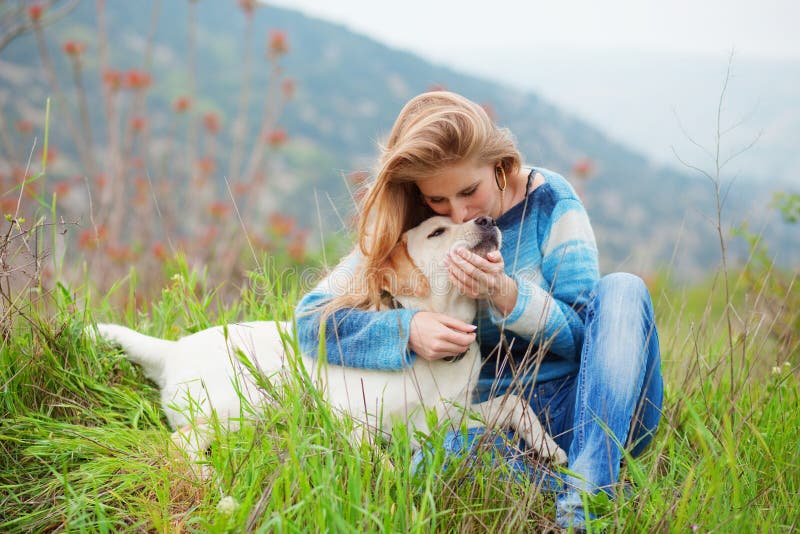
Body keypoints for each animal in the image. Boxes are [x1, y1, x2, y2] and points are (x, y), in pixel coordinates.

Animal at [92, 218, 568, 478]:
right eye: (437, 230)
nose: (488, 220)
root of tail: (170, 350)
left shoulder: (442, 420)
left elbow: (513, 401)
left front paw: (548, 447)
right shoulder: (353, 421)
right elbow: (383, 463)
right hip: (243, 404)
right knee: (180, 444)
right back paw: (209, 479)